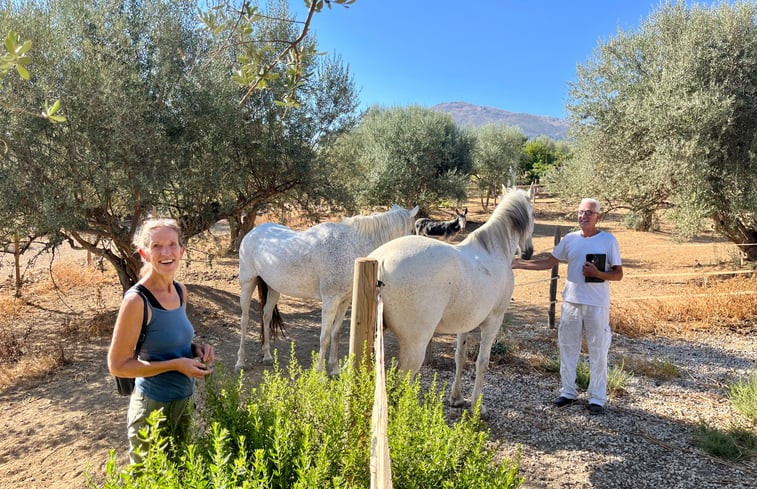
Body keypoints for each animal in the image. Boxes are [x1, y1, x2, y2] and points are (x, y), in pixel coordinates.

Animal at [235, 204, 416, 372]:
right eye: (413, 230)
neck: (351, 246)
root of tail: (253, 232)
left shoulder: (344, 301)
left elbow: (335, 333)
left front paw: (334, 368)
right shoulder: (330, 301)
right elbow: (325, 336)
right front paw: (320, 373)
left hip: (274, 289)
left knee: (265, 315)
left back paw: (267, 355)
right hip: (248, 283)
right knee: (244, 320)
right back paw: (240, 362)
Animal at [366, 189, 532, 414]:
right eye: (532, 213)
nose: (528, 252)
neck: (493, 250)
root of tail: (382, 258)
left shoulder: (465, 324)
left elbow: (460, 357)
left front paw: (457, 398)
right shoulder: (493, 321)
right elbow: (482, 362)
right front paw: (477, 406)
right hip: (414, 345)